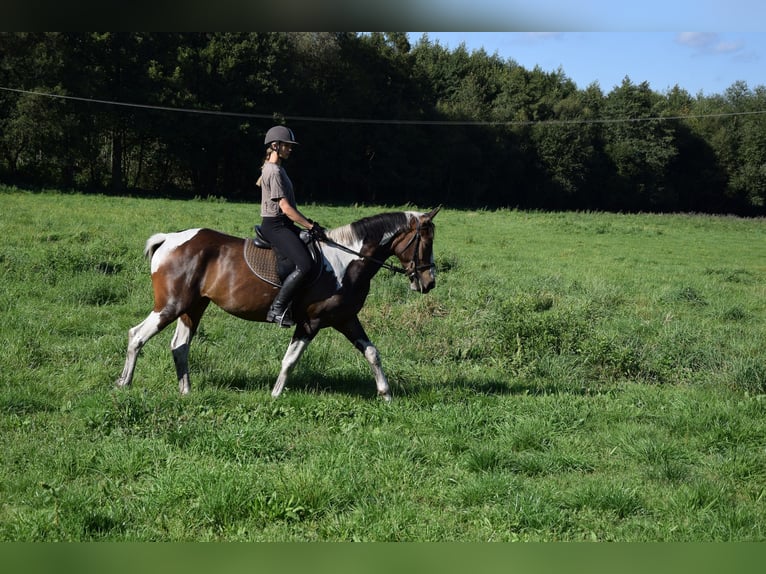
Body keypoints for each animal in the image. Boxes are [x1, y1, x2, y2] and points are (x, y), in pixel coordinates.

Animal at [115, 208, 440, 401]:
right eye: (425, 241)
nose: (428, 282)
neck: (346, 262)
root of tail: (169, 239)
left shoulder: (346, 319)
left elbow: (372, 352)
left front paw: (386, 394)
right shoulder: (311, 321)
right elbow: (290, 359)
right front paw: (275, 394)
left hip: (193, 307)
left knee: (180, 346)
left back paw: (186, 391)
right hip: (171, 305)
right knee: (137, 335)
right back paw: (124, 383)